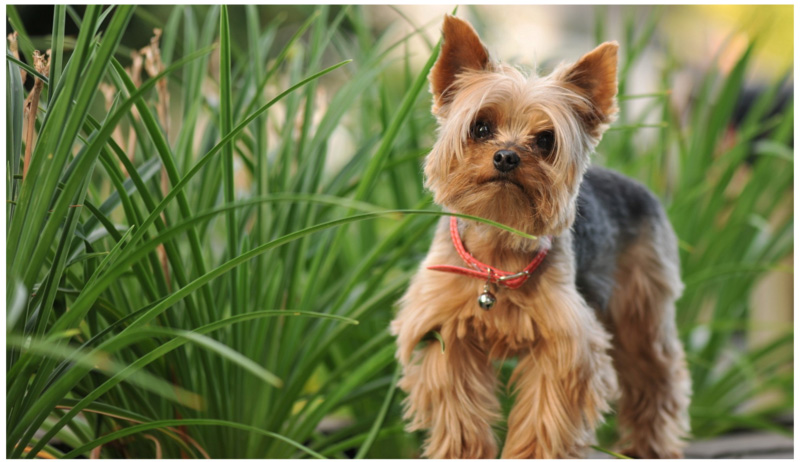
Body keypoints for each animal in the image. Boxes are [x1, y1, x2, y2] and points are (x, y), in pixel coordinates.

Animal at [390, 14, 692, 458]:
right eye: (481, 127)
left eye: (546, 139)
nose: (506, 156)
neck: (498, 245)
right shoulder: (444, 333)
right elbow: (458, 413)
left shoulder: (564, 345)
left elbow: (545, 416)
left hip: (642, 307)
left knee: (655, 374)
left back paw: (649, 447)